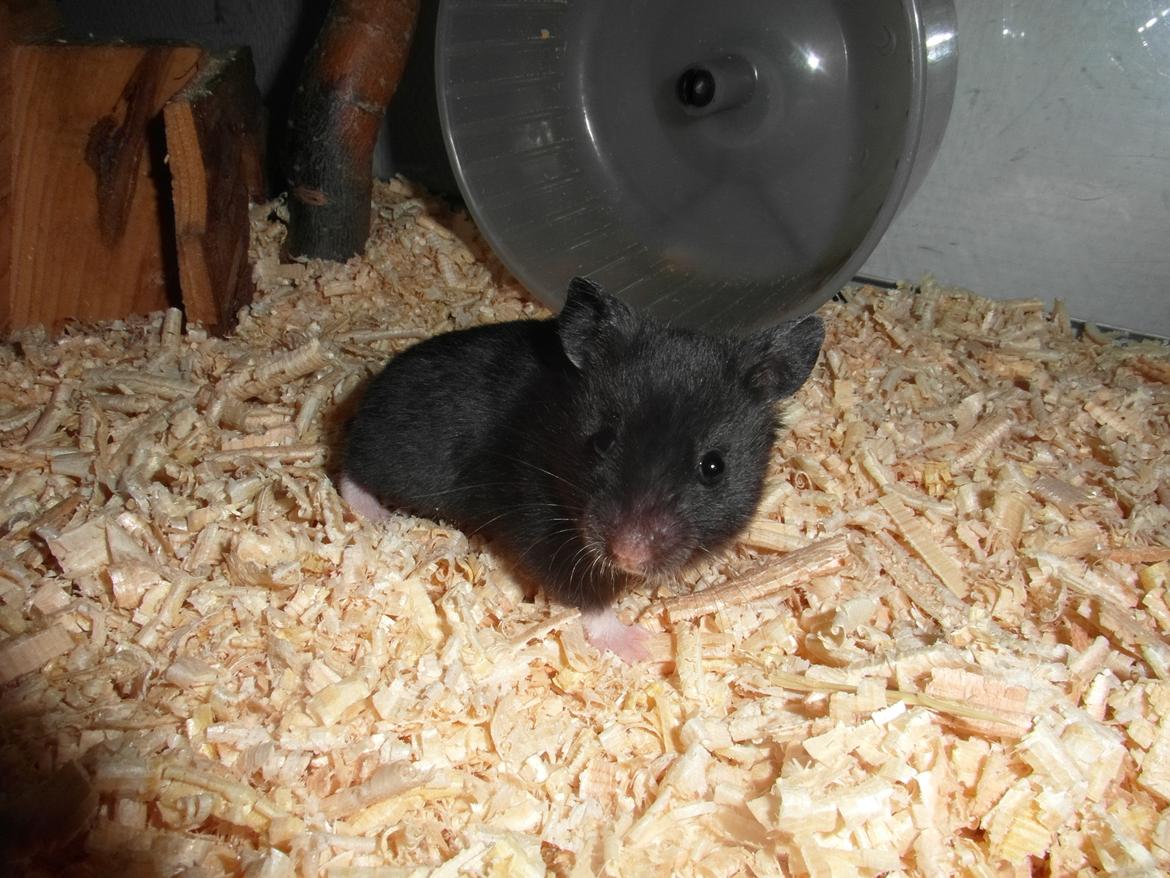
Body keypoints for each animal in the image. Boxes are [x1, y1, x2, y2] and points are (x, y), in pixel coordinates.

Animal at [340, 277, 825, 662]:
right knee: (348, 469)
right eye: (603, 440)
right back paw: (374, 514)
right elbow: (588, 599)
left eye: (713, 466)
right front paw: (647, 648)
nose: (627, 553)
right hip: (392, 458)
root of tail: (368, 393)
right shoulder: (544, 524)